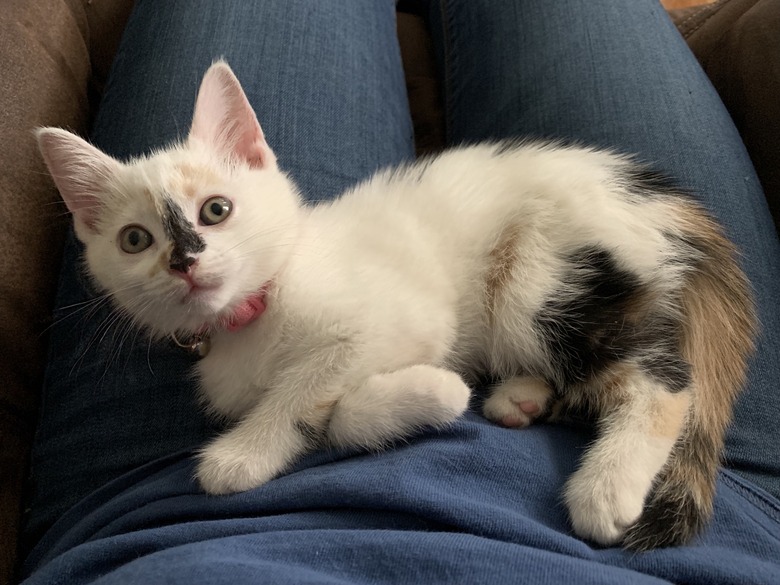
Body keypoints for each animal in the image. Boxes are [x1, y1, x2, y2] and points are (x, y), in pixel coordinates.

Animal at [38, 61, 756, 548]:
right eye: (136, 240)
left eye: (216, 210)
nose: (183, 260)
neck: (260, 309)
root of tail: (654, 195)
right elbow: (330, 410)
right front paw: (427, 396)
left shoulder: (403, 318)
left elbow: (311, 392)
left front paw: (244, 453)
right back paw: (519, 395)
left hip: (542, 276)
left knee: (663, 383)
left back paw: (606, 486)